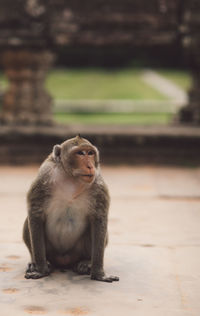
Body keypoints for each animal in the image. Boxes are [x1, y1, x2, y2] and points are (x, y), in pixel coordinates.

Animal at [22, 135, 119, 282]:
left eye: (90, 153)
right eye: (80, 153)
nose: (90, 166)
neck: (71, 179)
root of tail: (64, 261)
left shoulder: (98, 184)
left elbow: (99, 219)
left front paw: (99, 274)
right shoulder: (44, 176)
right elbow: (35, 214)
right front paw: (41, 270)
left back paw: (85, 263)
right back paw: (38, 263)